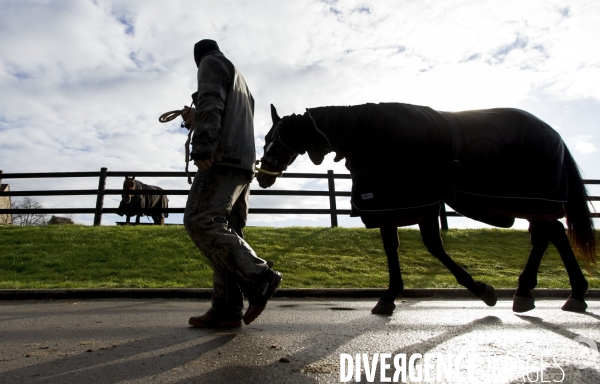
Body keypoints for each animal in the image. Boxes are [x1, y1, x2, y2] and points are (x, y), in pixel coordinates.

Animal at [254, 103, 596, 316]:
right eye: (268, 136)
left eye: (279, 136)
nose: (262, 174)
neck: (367, 135)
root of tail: (553, 133)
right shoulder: (394, 205)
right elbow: (398, 246)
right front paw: (391, 294)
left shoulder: (414, 202)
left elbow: (431, 246)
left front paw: (481, 289)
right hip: (531, 201)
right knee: (552, 233)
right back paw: (561, 292)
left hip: (532, 199)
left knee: (546, 235)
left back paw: (540, 291)